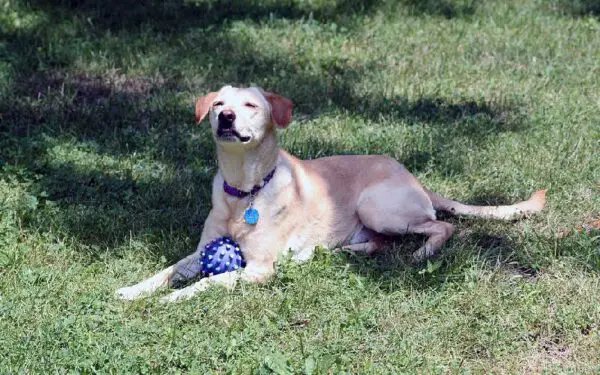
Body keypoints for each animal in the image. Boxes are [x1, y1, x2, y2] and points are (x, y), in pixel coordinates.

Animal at [115, 86, 548, 302]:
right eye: (219, 103)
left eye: (251, 105)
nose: (225, 116)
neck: (244, 189)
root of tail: (413, 177)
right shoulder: (201, 249)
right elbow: (168, 270)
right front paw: (134, 290)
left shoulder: (259, 269)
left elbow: (210, 281)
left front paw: (172, 299)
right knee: (379, 244)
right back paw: (341, 251)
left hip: (376, 207)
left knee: (441, 227)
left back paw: (422, 253)